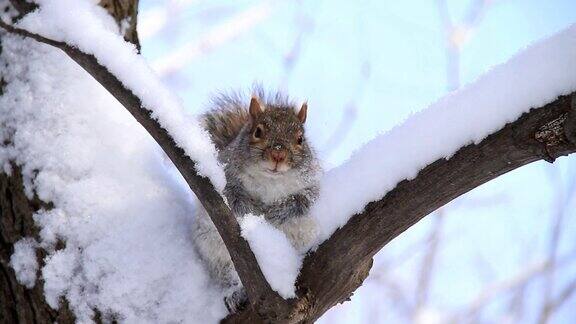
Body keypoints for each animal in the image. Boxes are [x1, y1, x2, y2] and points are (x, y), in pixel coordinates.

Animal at [192, 89, 322, 314]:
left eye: (300, 139)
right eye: (258, 132)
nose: (278, 154)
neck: (270, 180)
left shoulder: (309, 186)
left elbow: (300, 202)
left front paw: (274, 214)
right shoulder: (227, 177)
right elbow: (233, 198)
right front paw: (252, 212)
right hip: (216, 253)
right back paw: (235, 292)